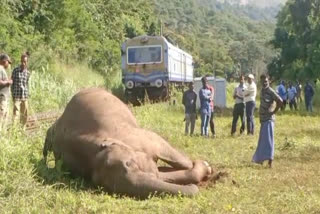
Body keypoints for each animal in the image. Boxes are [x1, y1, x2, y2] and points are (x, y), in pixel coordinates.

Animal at [42, 88, 212, 198]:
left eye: (129, 163)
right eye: (101, 185)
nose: (191, 188)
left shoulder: (142, 138)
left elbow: (171, 155)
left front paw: (205, 165)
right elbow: (160, 175)